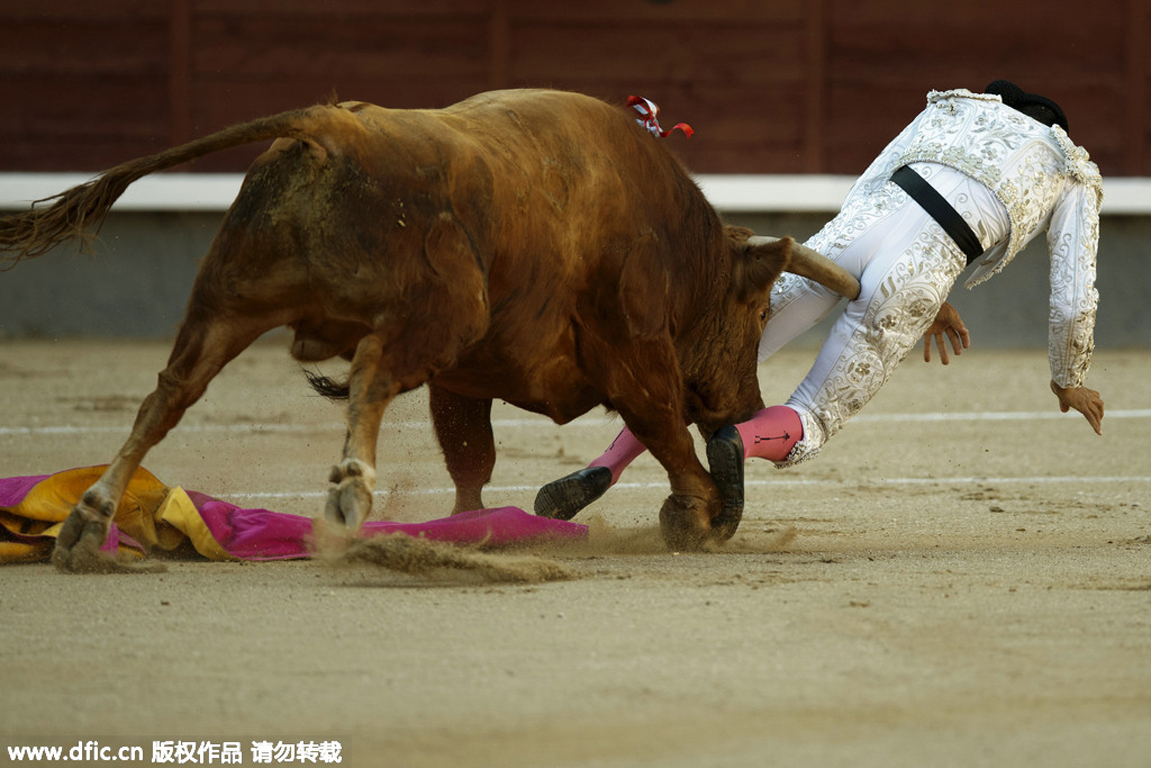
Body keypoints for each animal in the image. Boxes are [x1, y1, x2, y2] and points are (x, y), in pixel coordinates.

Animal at [0, 91, 860, 571]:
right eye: (758, 314)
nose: (743, 407)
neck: (682, 251)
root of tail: (331, 128)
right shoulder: (634, 350)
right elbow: (668, 437)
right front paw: (702, 516)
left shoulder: (461, 382)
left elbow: (470, 464)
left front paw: (467, 530)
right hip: (441, 314)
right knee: (373, 373)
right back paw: (348, 494)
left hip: (226, 303)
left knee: (167, 397)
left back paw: (89, 520)